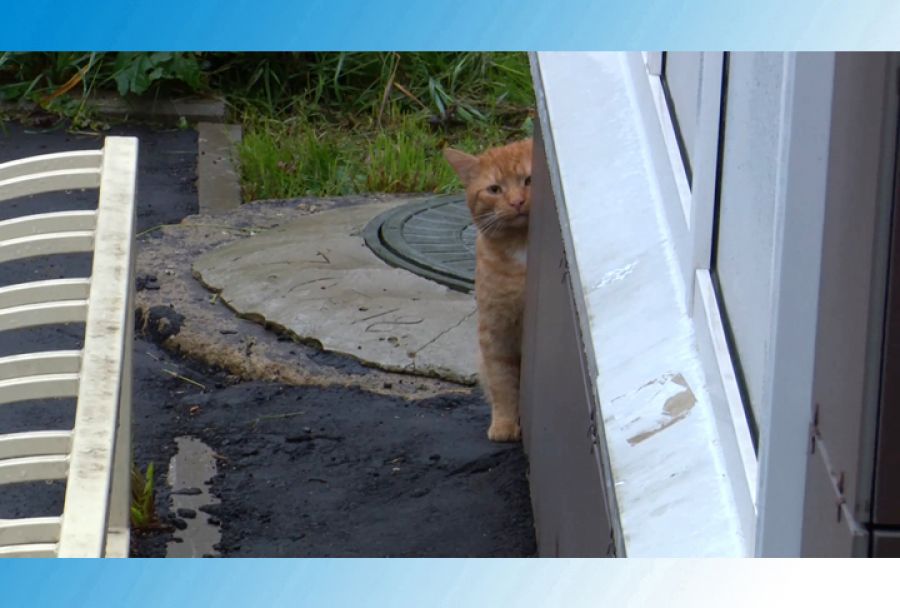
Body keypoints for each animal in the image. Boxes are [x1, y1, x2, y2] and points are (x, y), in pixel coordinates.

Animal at [444, 138, 536, 442]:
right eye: (495, 189)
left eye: (529, 180)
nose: (517, 202)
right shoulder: (496, 331)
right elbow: (503, 383)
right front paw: (505, 425)